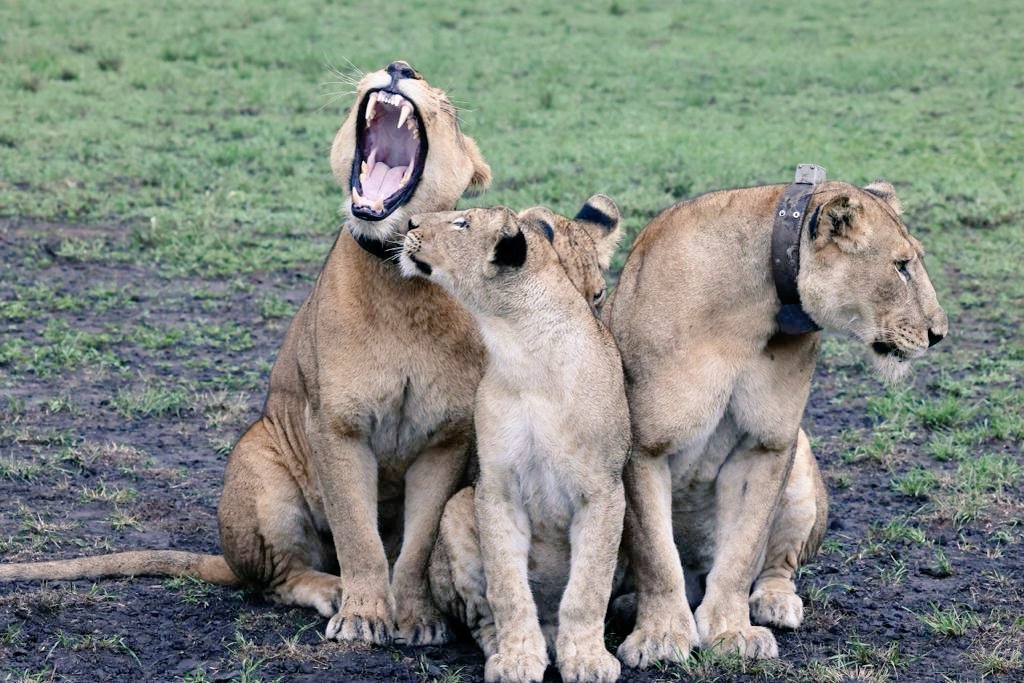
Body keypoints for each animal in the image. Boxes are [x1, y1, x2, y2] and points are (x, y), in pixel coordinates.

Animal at [0, 61, 492, 647]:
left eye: (447, 109)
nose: (399, 68)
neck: (399, 278)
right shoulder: (336, 427)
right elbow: (357, 536)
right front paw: (364, 615)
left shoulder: (446, 441)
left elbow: (416, 546)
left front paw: (415, 618)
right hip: (260, 468)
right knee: (276, 579)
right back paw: (331, 590)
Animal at [399, 199, 628, 683]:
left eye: (462, 223)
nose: (409, 222)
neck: (523, 347)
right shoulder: (496, 490)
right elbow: (507, 587)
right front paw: (519, 657)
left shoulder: (604, 491)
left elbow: (588, 589)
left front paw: (587, 659)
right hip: (456, 507)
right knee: (483, 614)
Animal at [604, 178, 948, 665]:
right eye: (900, 267)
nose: (940, 334)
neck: (749, 313)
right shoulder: (643, 446)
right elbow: (656, 553)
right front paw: (660, 635)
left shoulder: (767, 444)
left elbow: (741, 552)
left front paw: (731, 631)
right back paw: (629, 604)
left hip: (800, 463)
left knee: (775, 567)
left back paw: (774, 603)